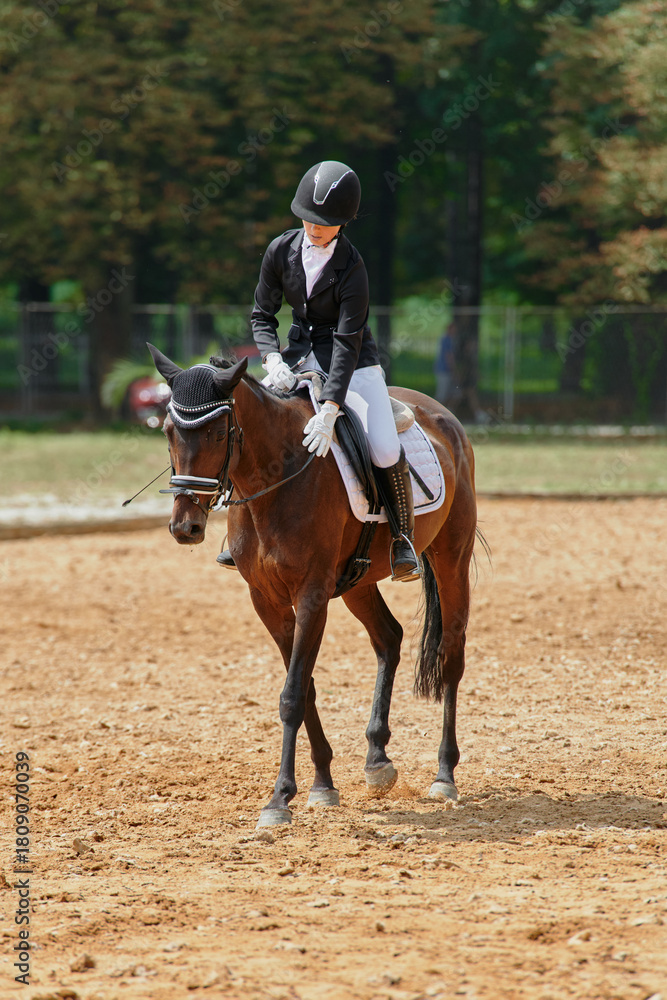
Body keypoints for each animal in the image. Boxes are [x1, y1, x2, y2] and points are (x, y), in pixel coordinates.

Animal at [147, 343, 479, 829]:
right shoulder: (266, 601)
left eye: (219, 432)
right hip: (358, 580)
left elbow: (292, 694)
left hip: (451, 557)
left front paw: (278, 799)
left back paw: (444, 775)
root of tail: (444, 416)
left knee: (451, 654)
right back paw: (377, 760)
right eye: (170, 431)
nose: (184, 527)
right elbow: (304, 687)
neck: (274, 479)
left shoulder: (311, 596)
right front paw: (322, 784)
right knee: (389, 637)